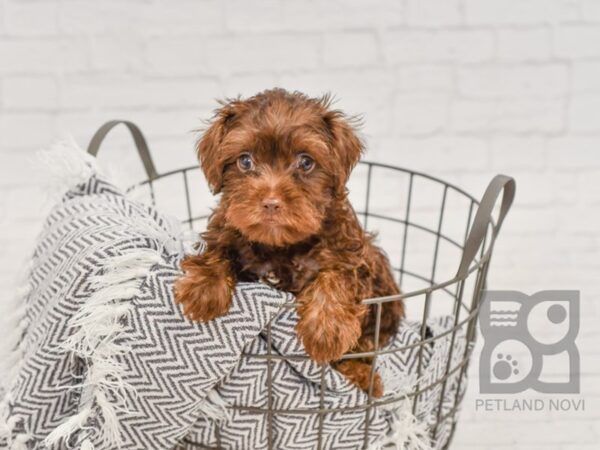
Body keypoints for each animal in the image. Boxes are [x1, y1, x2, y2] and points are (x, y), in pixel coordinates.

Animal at [176, 89, 406, 398]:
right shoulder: (227, 229)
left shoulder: (350, 253)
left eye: (306, 162)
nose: (271, 202)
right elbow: (218, 248)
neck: (281, 246)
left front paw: (326, 330)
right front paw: (203, 288)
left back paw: (358, 374)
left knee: (365, 345)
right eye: (245, 161)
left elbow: (338, 276)